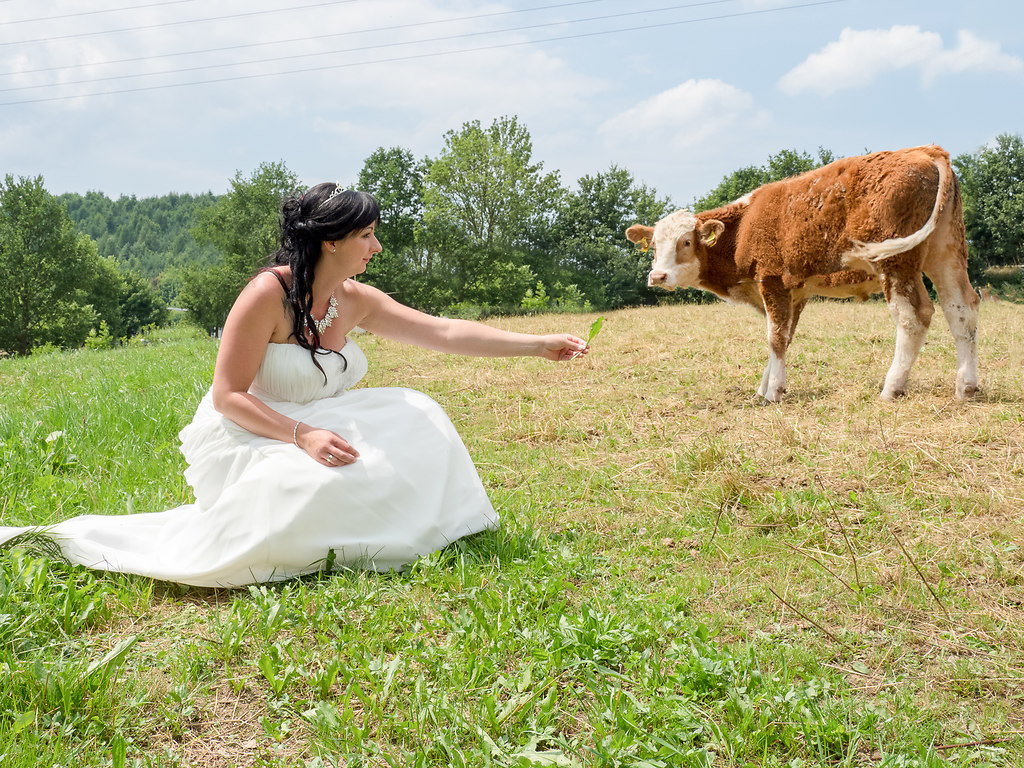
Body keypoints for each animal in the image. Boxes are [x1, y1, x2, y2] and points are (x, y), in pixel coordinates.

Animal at [626, 146, 978, 405]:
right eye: (654, 246)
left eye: (686, 242)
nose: (657, 276)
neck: (744, 229)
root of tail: (924, 150)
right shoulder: (794, 293)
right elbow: (781, 336)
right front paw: (765, 386)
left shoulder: (772, 281)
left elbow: (775, 337)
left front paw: (774, 391)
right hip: (947, 253)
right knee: (962, 309)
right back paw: (966, 386)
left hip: (896, 262)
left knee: (914, 316)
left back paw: (891, 388)